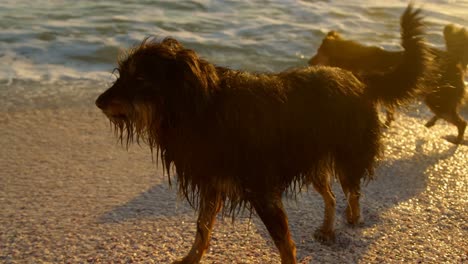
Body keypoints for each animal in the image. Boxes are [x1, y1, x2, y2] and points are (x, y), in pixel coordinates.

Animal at [95, 5, 428, 262]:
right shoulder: (212, 182)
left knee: (351, 191)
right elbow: (202, 227)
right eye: (121, 74)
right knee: (331, 194)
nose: (98, 102)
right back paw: (328, 228)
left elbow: (283, 242)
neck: (199, 107)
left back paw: (354, 218)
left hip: (347, 153)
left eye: (139, 78)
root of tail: (359, 78)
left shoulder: (261, 189)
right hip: (312, 158)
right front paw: (191, 258)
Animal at [308, 23, 466, 144]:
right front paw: (387, 124)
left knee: (461, 122)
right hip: (436, 98)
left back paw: (456, 141)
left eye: (319, 51)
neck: (351, 58)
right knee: (448, 114)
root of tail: (455, 60)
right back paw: (431, 123)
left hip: (436, 98)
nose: (309, 62)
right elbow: (390, 111)